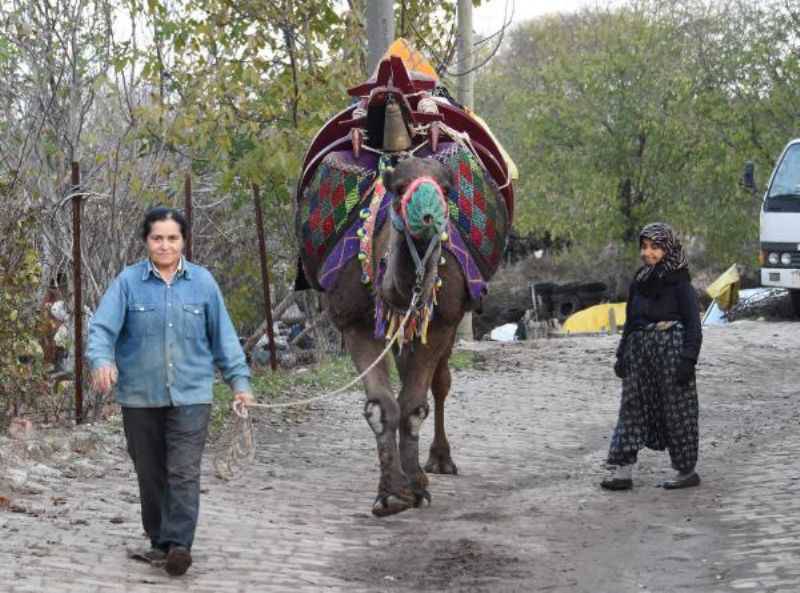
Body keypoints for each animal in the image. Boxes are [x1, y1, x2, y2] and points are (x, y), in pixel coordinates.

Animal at [294, 41, 512, 512]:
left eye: (447, 188)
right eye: (396, 190)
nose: (429, 217)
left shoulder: (442, 319)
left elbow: (414, 403)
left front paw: (416, 484)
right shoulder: (354, 320)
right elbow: (382, 406)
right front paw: (390, 491)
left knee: (440, 384)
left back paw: (440, 459)